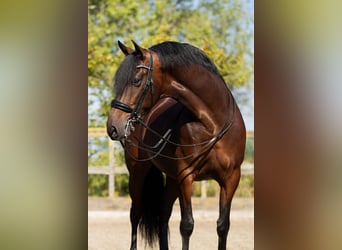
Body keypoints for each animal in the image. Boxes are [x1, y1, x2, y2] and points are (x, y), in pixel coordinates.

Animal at [107, 40, 246, 249]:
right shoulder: (186, 177)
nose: (112, 126)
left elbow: (223, 226)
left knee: (163, 213)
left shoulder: (230, 179)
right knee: (135, 214)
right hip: (138, 172)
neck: (213, 123)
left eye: (136, 81)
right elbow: (187, 225)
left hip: (172, 179)